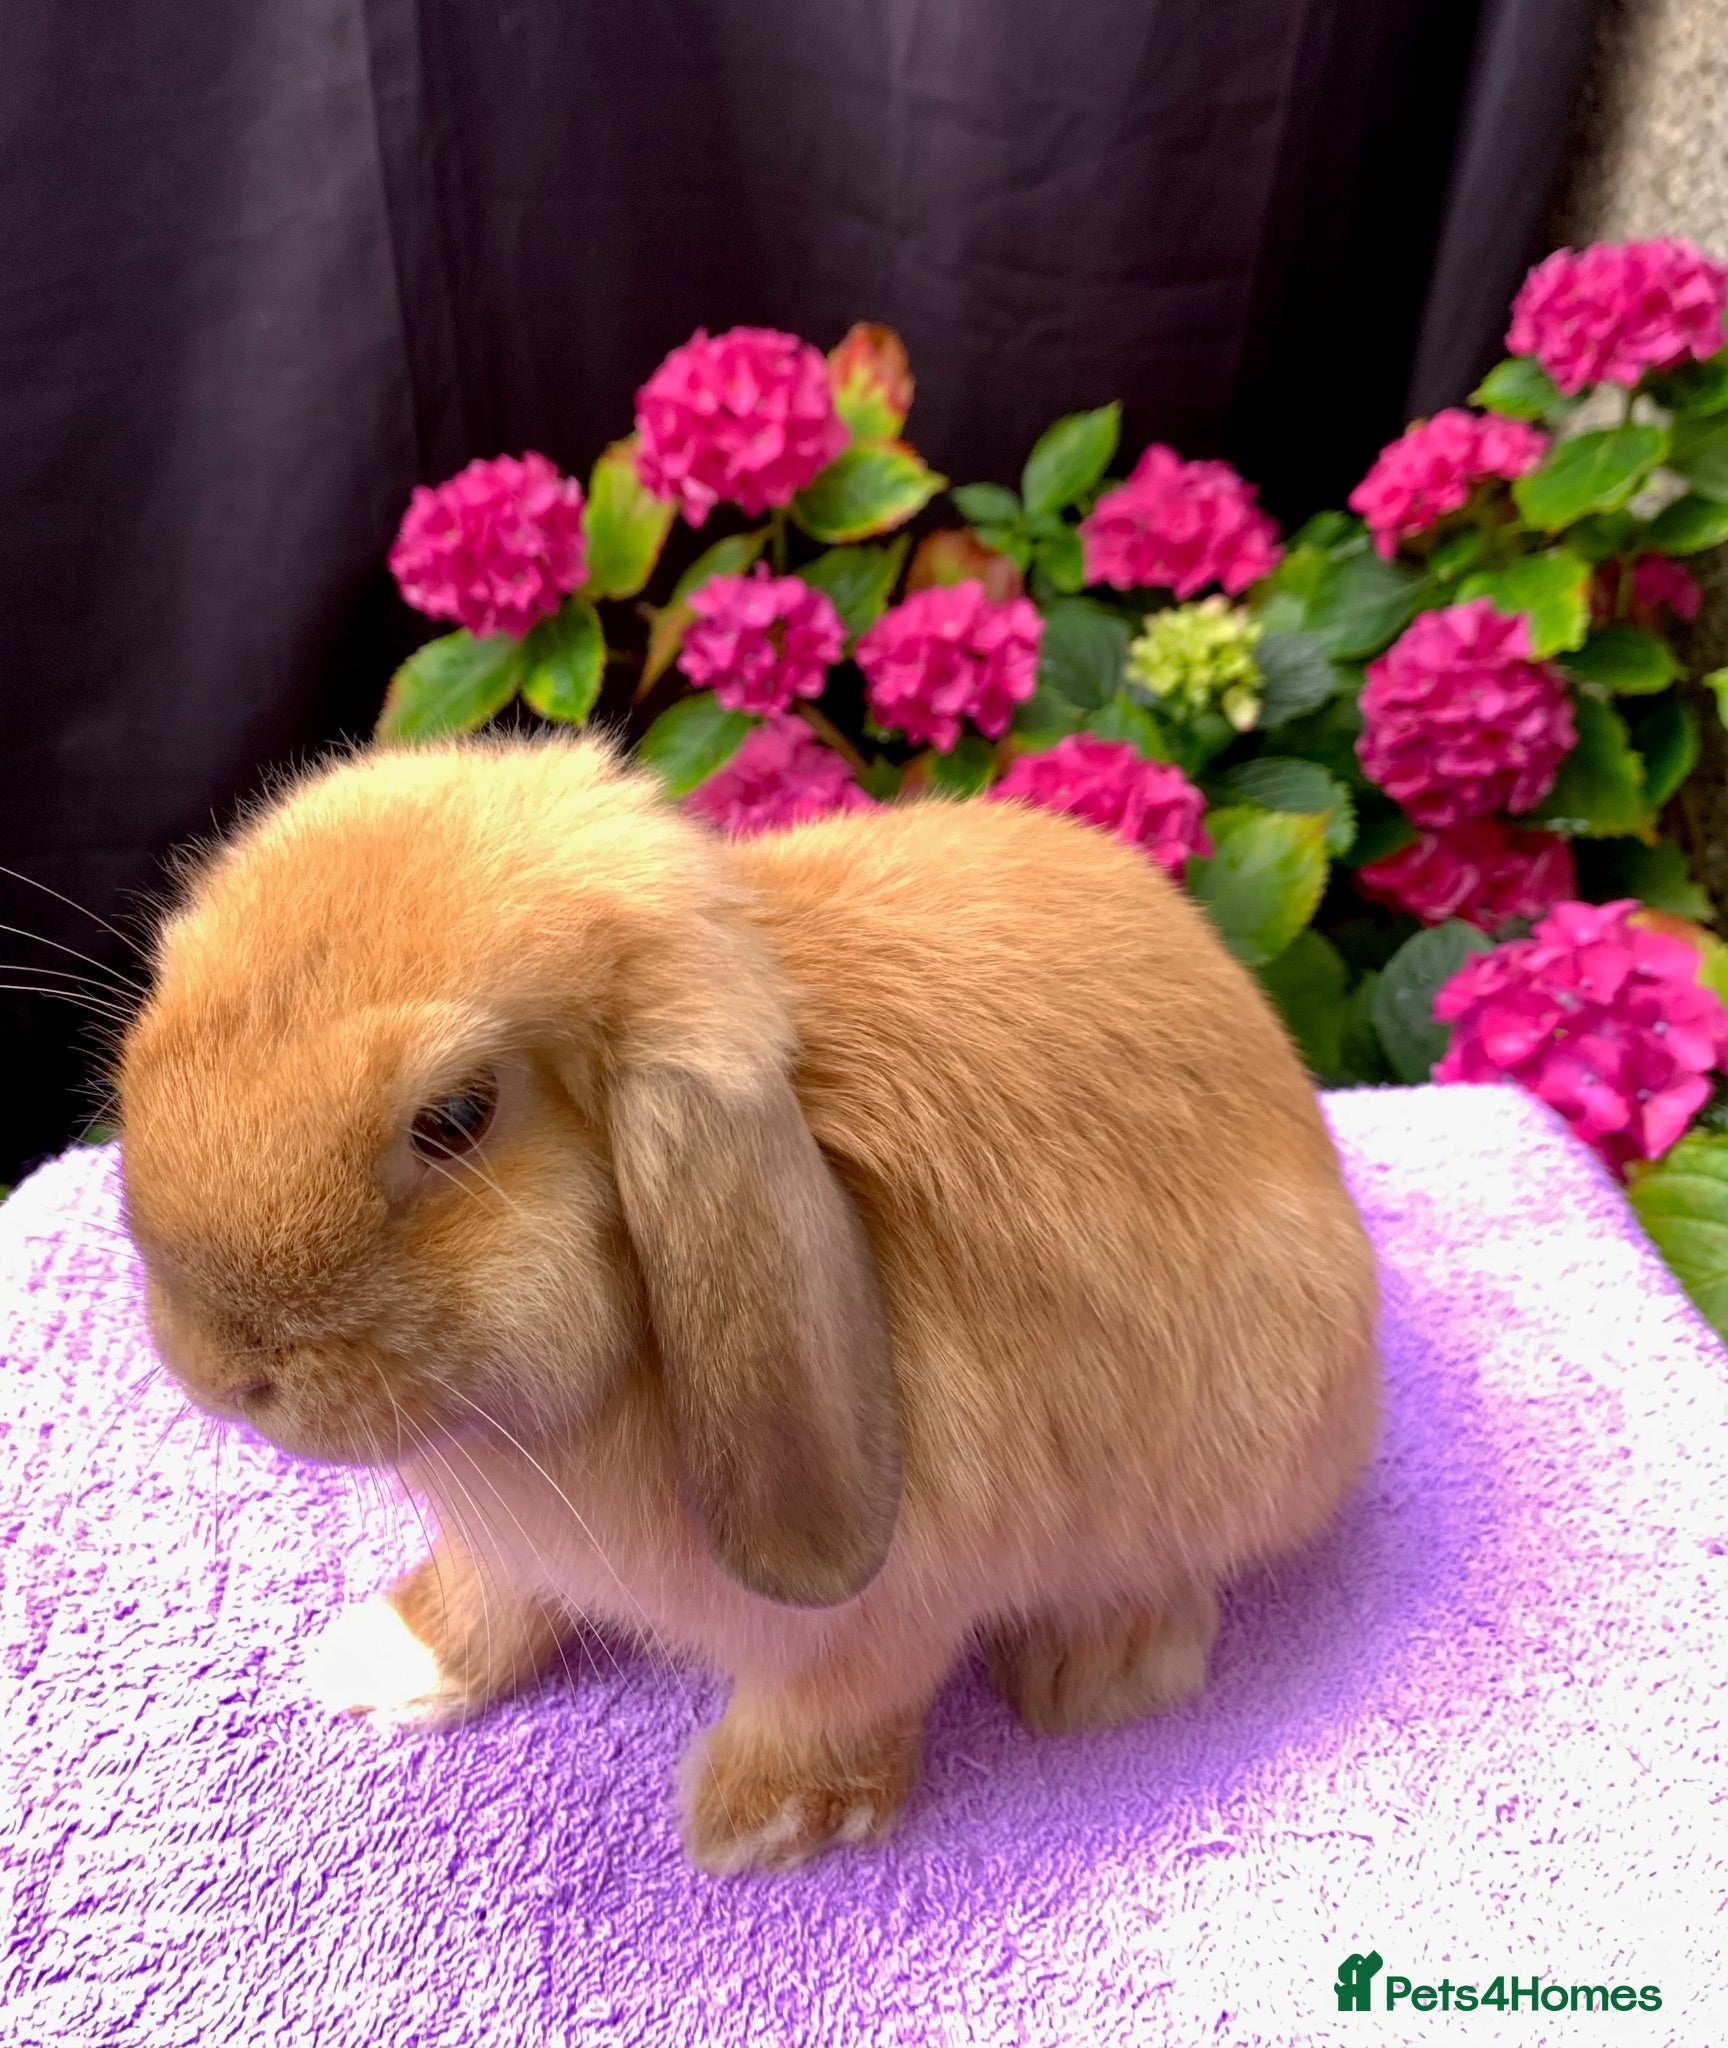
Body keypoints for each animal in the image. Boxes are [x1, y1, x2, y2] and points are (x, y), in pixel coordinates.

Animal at [117, 734, 1379, 1873]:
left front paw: (752, 1826)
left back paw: (1098, 1671)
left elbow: (828, 1709)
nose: (218, 1367)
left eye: (457, 1117)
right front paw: (385, 1661)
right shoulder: (507, 1547)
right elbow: (489, 1600)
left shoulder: (876, 1619)